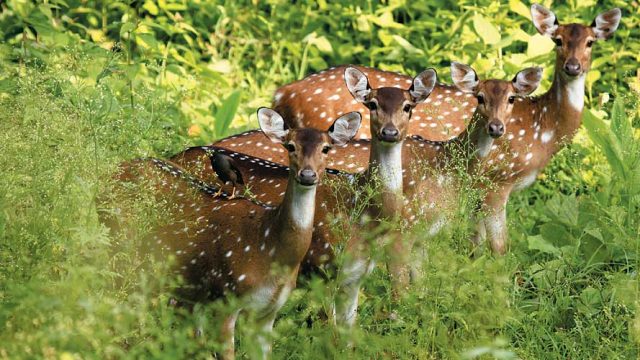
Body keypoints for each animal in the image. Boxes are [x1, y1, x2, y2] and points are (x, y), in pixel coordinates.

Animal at [110, 108, 360, 358]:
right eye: (290, 146)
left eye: (326, 148)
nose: (307, 175)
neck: (268, 243)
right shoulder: (225, 298)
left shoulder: (268, 310)